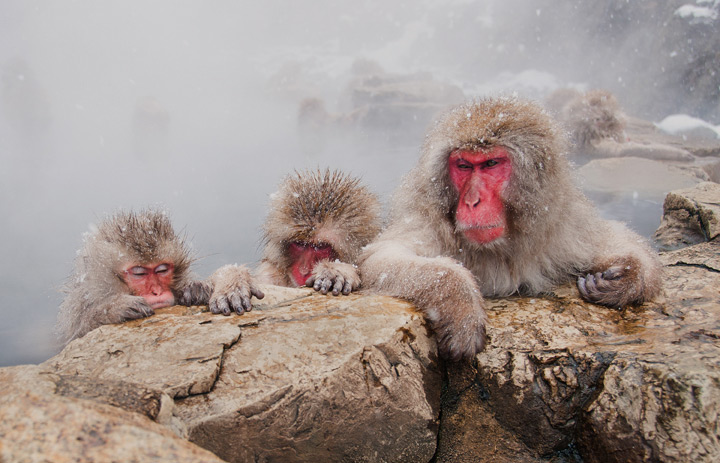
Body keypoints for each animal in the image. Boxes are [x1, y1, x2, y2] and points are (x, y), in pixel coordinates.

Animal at [359, 96, 663, 361]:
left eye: (491, 164)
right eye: (464, 166)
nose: (472, 201)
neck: (497, 247)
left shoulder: (561, 225)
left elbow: (611, 237)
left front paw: (627, 276)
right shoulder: (427, 223)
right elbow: (380, 258)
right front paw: (461, 303)